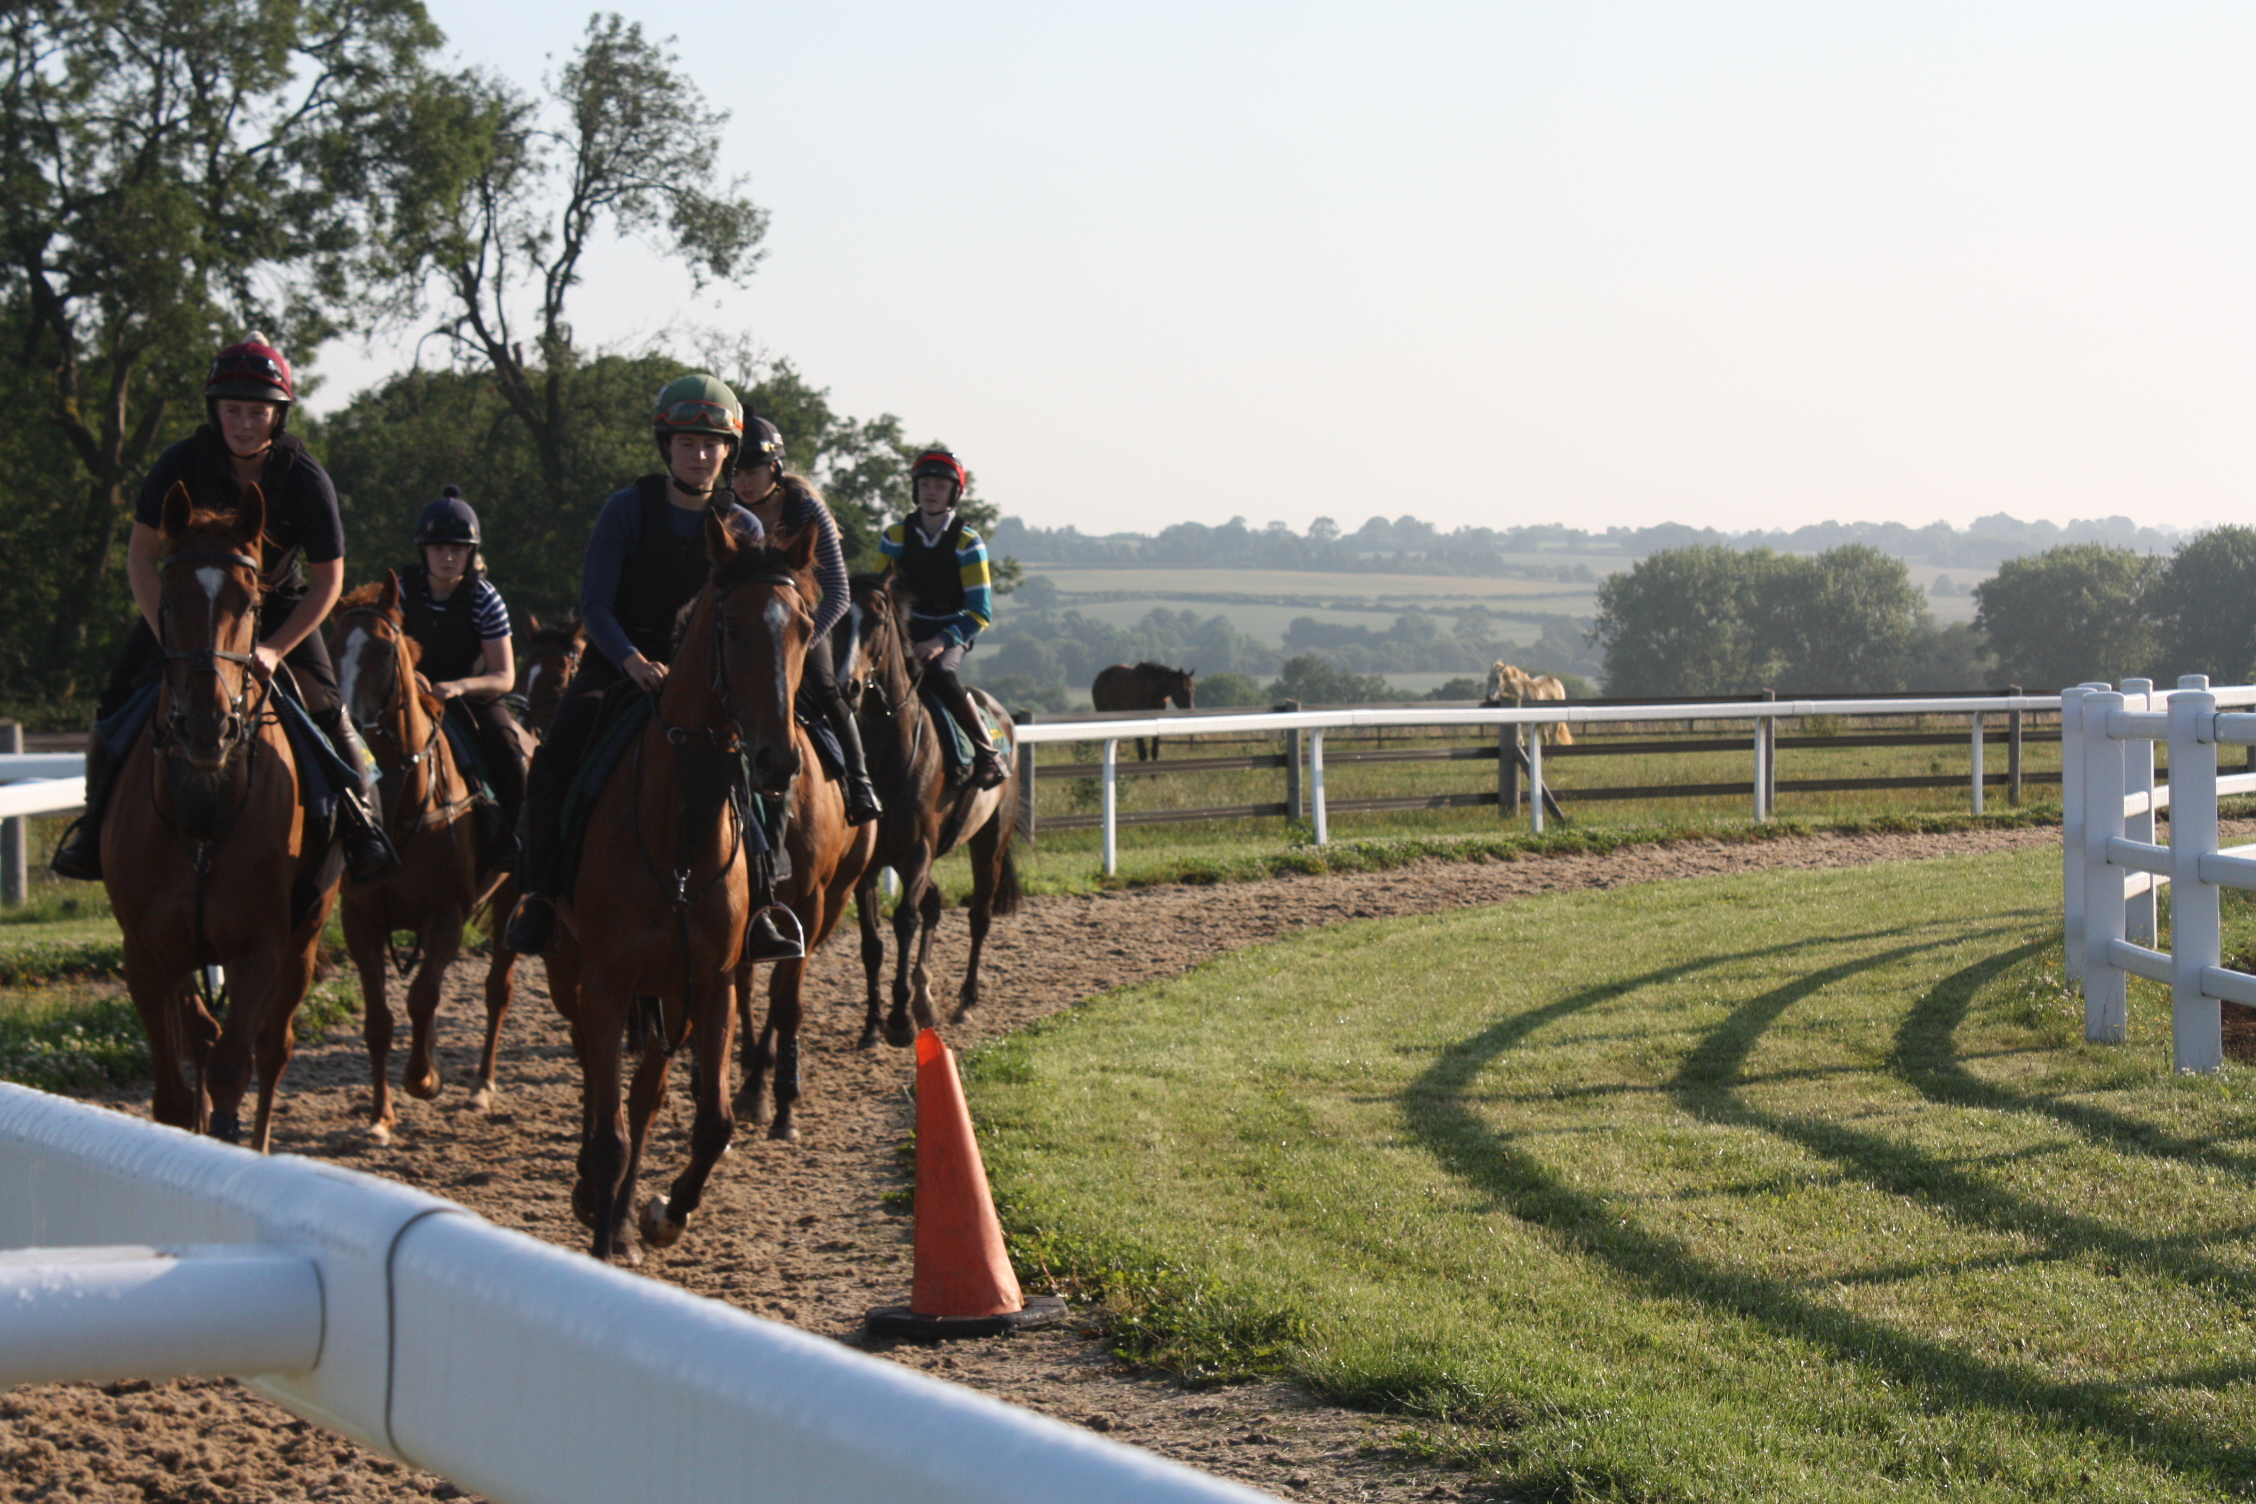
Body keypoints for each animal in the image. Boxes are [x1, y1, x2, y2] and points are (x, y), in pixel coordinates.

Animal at [104, 489, 338, 1145]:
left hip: (306, 936)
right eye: (168, 598)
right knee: (206, 1038)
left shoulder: (260, 944)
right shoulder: (147, 952)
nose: (208, 726)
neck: (202, 814)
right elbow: (175, 1090)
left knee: (273, 1046)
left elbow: (236, 1065)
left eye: (251, 602)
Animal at [327, 577, 507, 1140]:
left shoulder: (448, 914)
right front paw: (380, 1117)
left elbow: (423, 997)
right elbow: (380, 1020)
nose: (348, 722)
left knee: (496, 990)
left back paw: (480, 1087)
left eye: (385, 649)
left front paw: (423, 1080)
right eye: (333, 648)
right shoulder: (360, 919)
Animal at [541, 518, 848, 1262]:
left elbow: (712, 1122)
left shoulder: (709, 984)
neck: (678, 831)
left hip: (671, 992)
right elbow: (607, 1130)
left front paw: (661, 1214)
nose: (776, 760)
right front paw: (603, 1229)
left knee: (646, 1095)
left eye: (804, 626)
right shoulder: (608, 981)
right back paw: (592, 1195)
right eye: (729, 628)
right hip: (571, 969)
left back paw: (623, 1214)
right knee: (596, 1081)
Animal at [834, 570, 1019, 1055]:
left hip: (990, 840)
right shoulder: (871, 863)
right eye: (838, 619)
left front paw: (899, 1020)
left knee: (979, 915)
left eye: (879, 619)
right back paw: (925, 996)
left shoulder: (917, 850)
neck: (886, 756)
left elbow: (905, 921)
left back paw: (964, 1001)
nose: (847, 687)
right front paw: (872, 1025)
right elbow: (872, 942)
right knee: (934, 903)